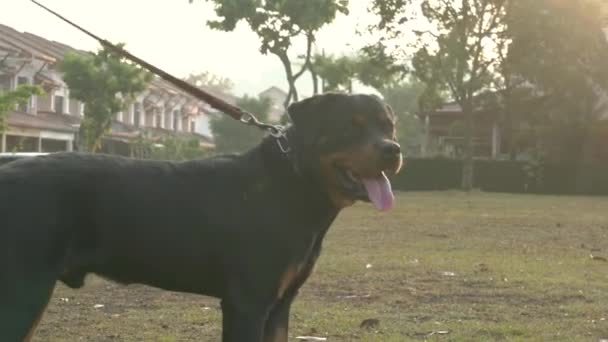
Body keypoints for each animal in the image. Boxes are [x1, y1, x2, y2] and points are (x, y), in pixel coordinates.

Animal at [0, 92, 404, 340]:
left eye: (388, 126)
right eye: (350, 126)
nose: (393, 149)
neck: (294, 184)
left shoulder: (279, 306)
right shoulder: (248, 303)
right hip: (22, 292)